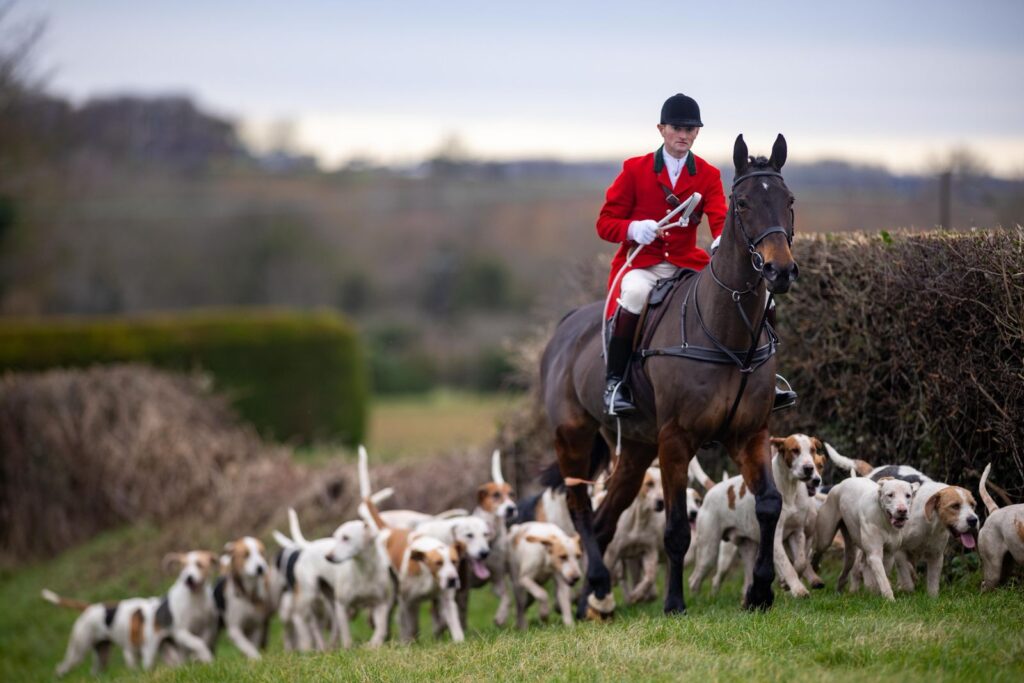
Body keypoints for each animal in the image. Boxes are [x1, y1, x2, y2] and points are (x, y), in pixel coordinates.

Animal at [540, 132, 794, 614]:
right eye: (743, 203)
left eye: (788, 200)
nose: (781, 271)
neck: (727, 333)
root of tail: (566, 325)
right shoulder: (675, 441)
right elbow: (676, 528)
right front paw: (675, 602)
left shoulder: (750, 433)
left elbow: (770, 505)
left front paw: (761, 591)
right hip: (572, 438)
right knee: (581, 509)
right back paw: (597, 583)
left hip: (636, 449)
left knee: (603, 521)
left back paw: (592, 601)